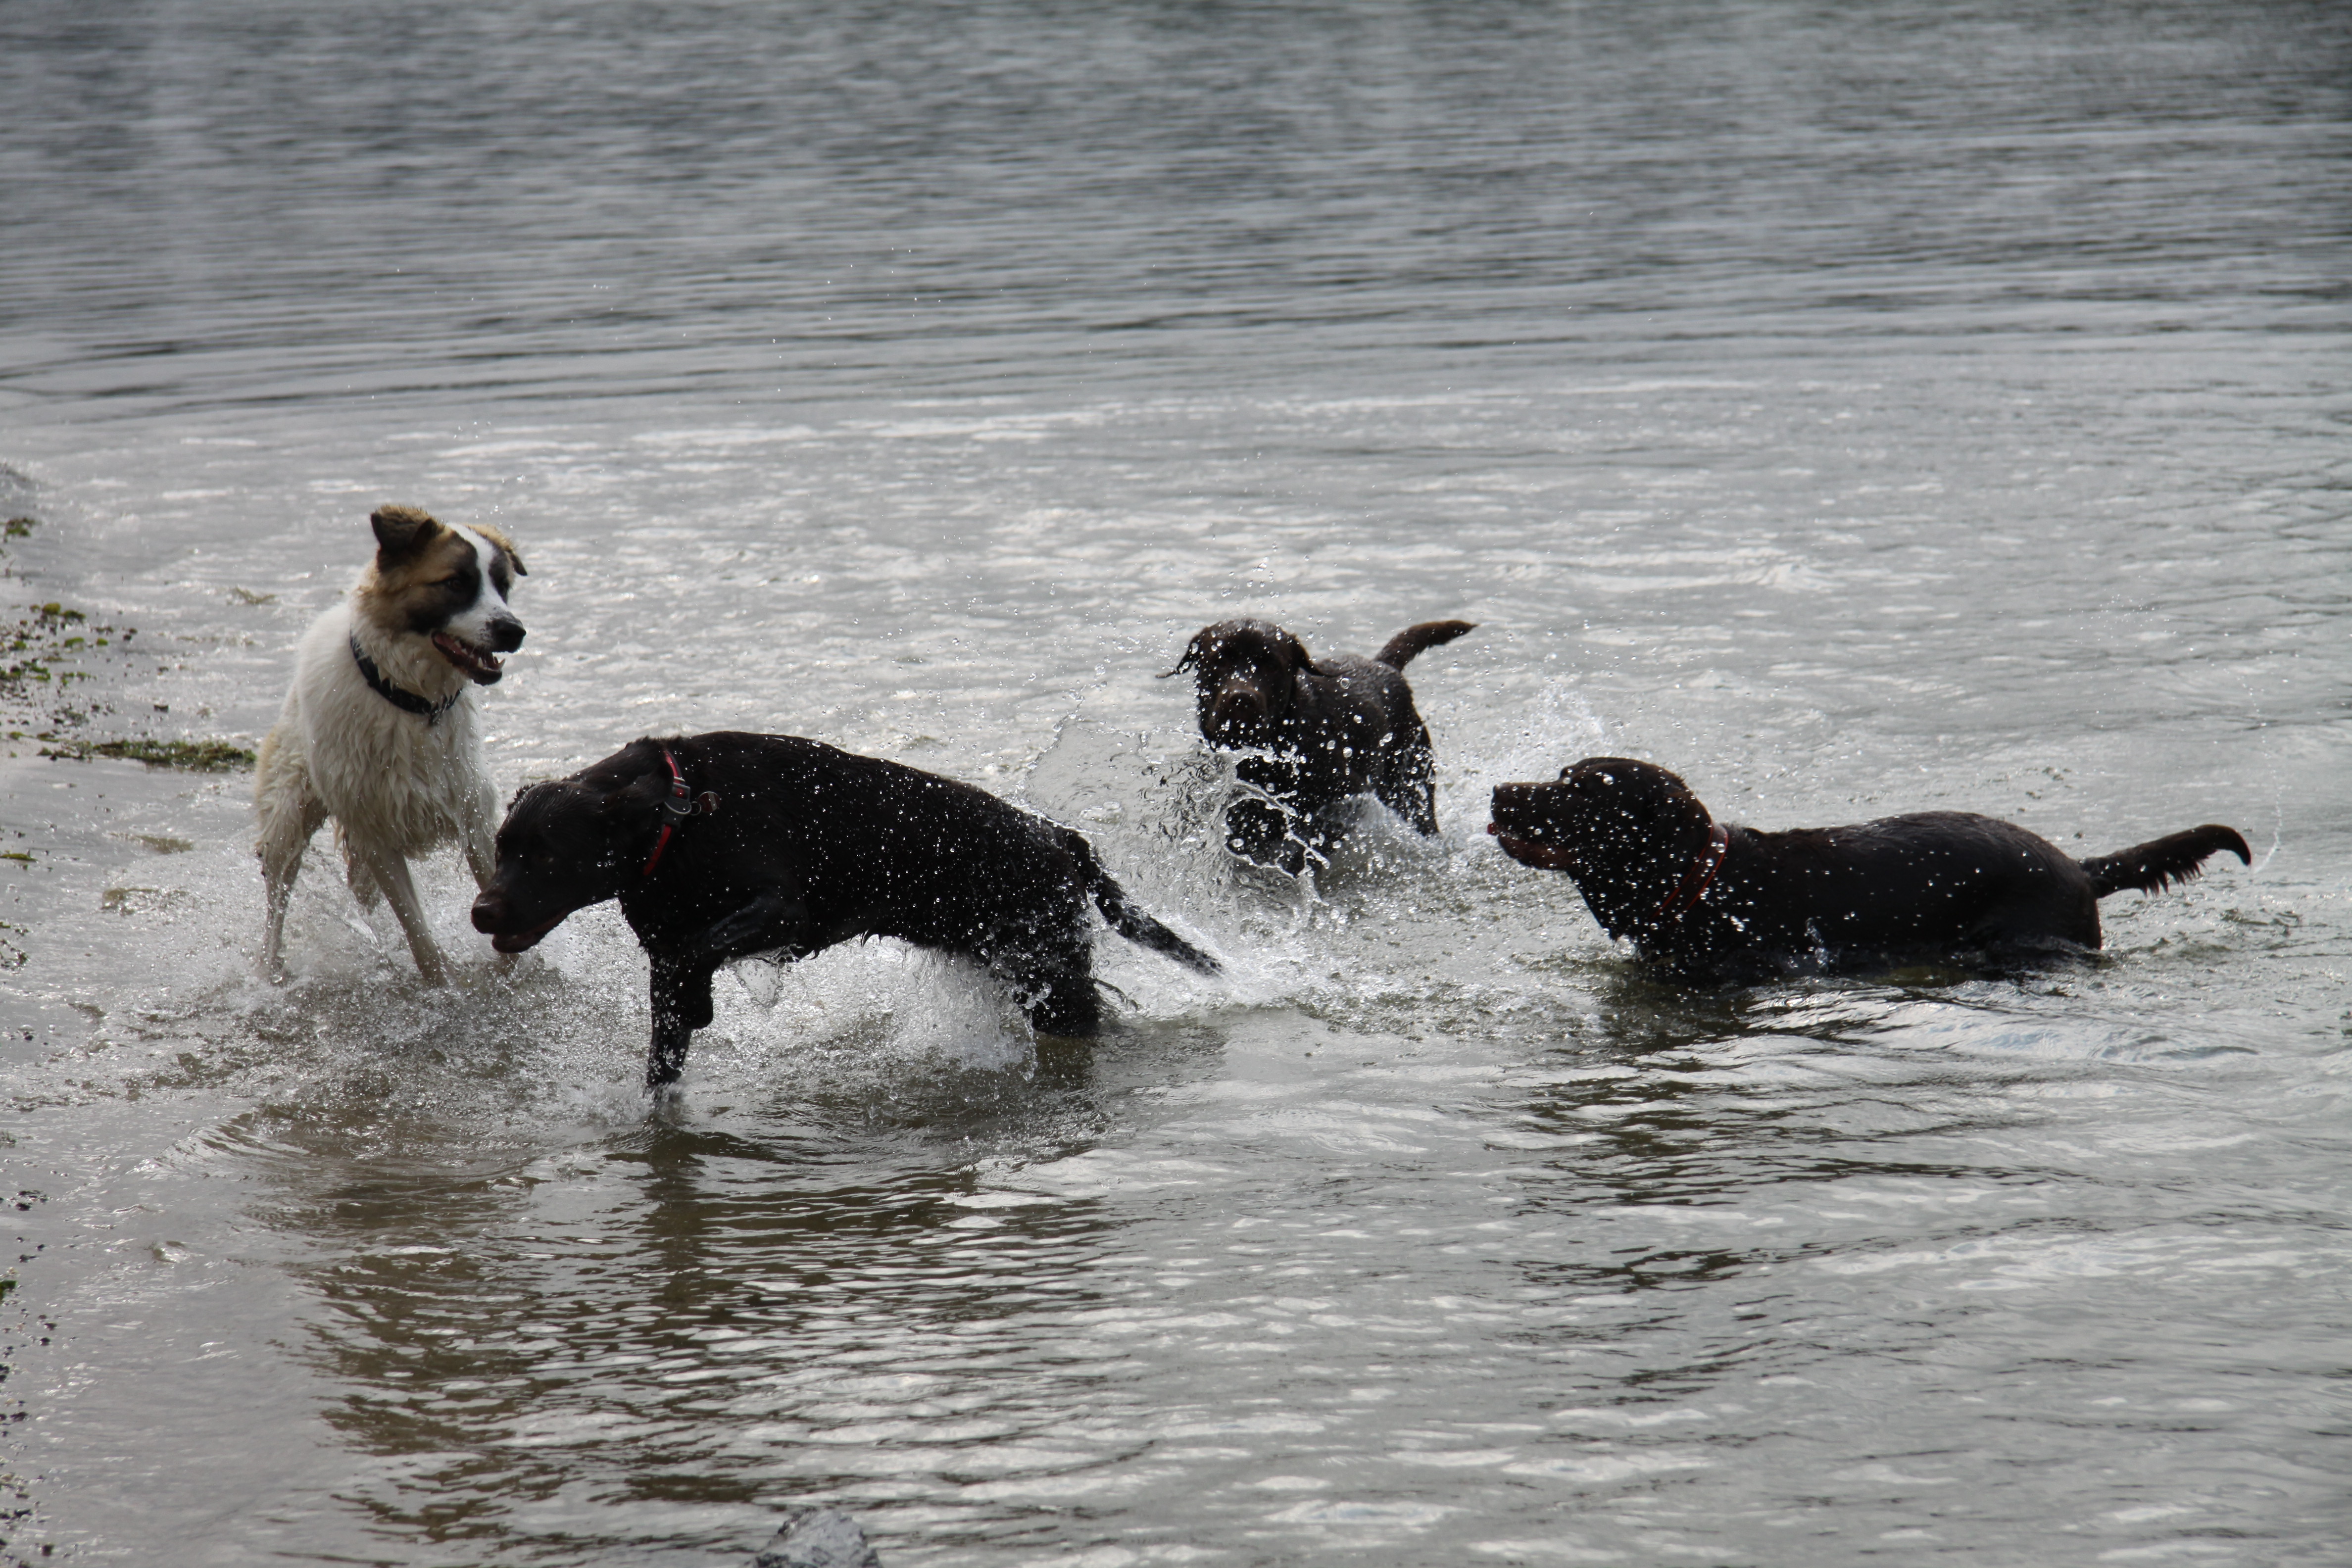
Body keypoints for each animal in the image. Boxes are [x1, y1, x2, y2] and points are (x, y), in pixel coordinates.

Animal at [260, 510, 531, 987]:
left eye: (503, 586)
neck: (409, 700)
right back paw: (268, 972)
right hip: (290, 812)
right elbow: (418, 933)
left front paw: (509, 971)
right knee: (279, 889)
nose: (513, 631)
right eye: (456, 583)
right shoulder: (376, 835)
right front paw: (445, 987)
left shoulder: (473, 813)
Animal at [470, 733, 1223, 1081]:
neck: (680, 818)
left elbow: (695, 956)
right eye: (503, 848)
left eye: (547, 857)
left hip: (1048, 972)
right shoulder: (667, 947)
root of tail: (1061, 837)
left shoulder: (782, 912)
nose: (482, 912)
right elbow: (668, 1031)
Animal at [1171, 620, 1477, 879]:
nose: (1242, 699)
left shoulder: (1348, 794)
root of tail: (1384, 666)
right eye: (1220, 660)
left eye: (1272, 666)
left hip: (1411, 789)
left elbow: (1310, 840)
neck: (1276, 750)